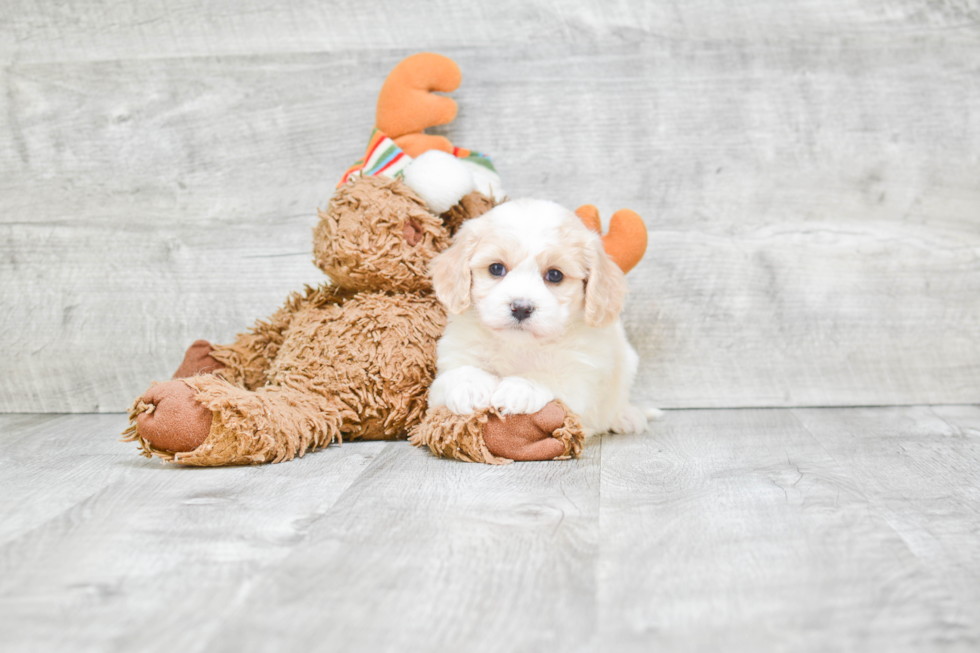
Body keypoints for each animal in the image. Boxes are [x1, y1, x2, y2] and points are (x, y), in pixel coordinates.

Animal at [426, 199, 652, 432]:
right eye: (496, 268)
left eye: (555, 275)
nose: (521, 308)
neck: (519, 346)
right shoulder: (451, 363)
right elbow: (457, 373)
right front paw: (470, 385)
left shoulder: (582, 379)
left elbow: (554, 377)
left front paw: (521, 387)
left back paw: (627, 416)